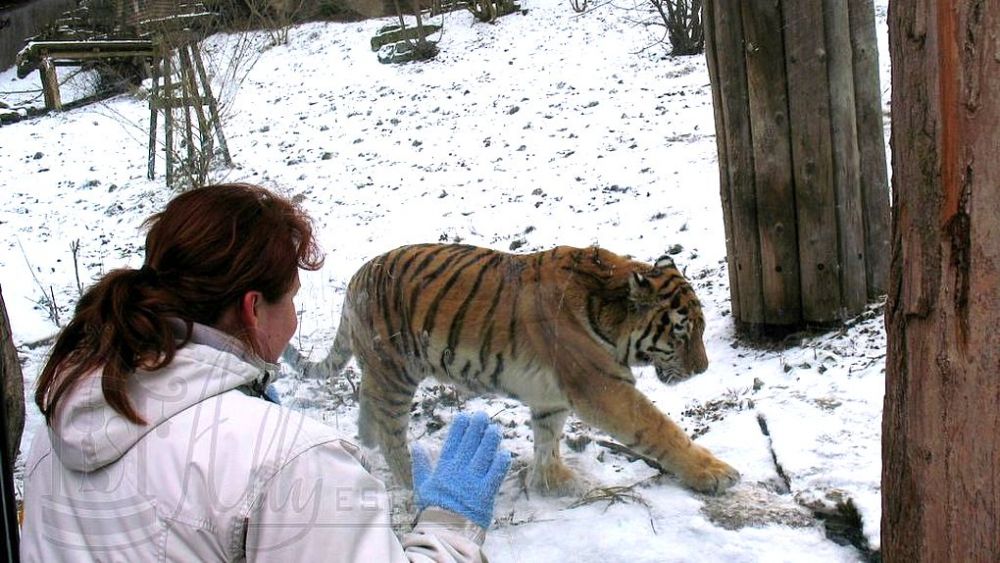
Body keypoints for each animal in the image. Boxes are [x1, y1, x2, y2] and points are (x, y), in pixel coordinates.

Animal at [286, 245, 740, 496]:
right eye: (682, 331)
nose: (703, 368)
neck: (607, 305)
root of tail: (355, 280)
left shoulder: (552, 396)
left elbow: (548, 438)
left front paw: (554, 483)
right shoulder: (604, 388)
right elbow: (661, 430)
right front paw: (715, 474)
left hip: (382, 373)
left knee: (370, 412)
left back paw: (365, 449)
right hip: (395, 372)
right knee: (392, 436)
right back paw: (415, 484)